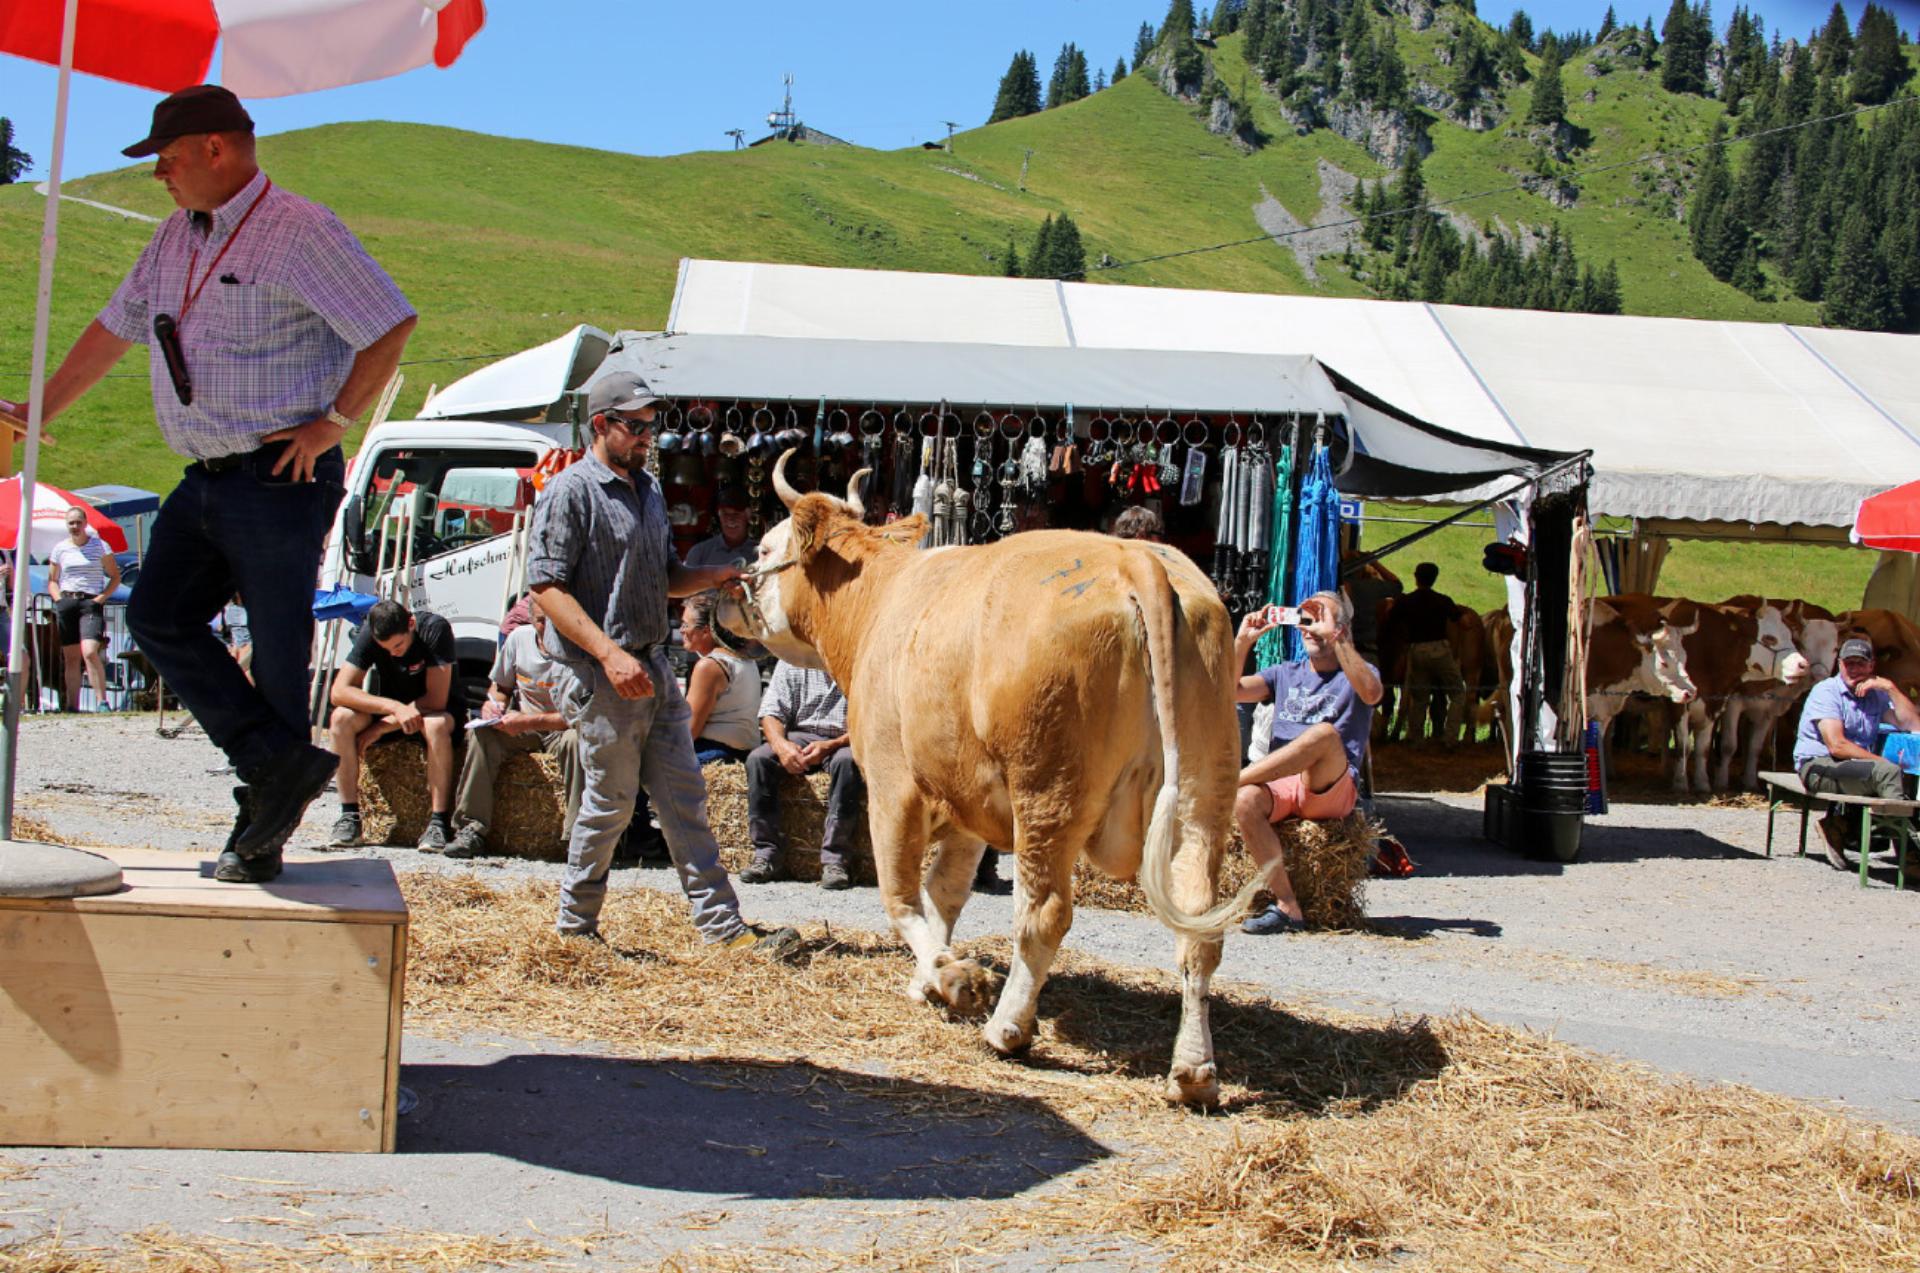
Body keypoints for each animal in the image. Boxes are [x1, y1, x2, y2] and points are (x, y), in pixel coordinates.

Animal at [721, 455, 1259, 1105]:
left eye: (762, 547)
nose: (730, 589)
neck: (880, 602)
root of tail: (1135, 558)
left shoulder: (892, 784)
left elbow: (901, 896)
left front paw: (952, 977)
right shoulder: (966, 800)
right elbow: (946, 891)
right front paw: (927, 979)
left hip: (1048, 790)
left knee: (1044, 913)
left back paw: (1008, 1029)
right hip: (1204, 794)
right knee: (1201, 931)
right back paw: (1193, 1071)